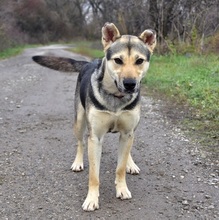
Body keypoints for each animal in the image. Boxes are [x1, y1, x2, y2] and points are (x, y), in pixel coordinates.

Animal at [32, 22, 156, 211]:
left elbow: (120, 167)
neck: (115, 97)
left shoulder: (127, 132)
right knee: (80, 142)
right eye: (118, 60)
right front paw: (91, 199)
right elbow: (94, 175)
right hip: (79, 122)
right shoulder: (95, 137)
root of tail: (89, 62)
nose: (130, 84)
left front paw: (122, 188)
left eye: (139, 61)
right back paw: (78, 162)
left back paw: (131, 163)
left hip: (131, 131)